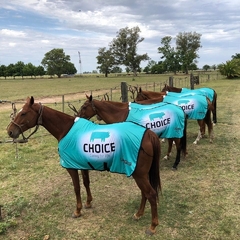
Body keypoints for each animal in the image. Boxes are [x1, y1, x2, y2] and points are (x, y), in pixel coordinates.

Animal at [7, 95, 161, 234]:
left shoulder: (71, 167)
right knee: (144, 193)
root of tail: (148, 134)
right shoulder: (82, 165)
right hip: (140, 173)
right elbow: (86, 183)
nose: (10, 131)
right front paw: (88, 203)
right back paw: (139, 214)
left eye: (23, 113)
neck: (65, 129)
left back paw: (153, 226)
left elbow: (76, 188)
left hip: (139, 174)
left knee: (151, 194)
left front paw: (78, 210)